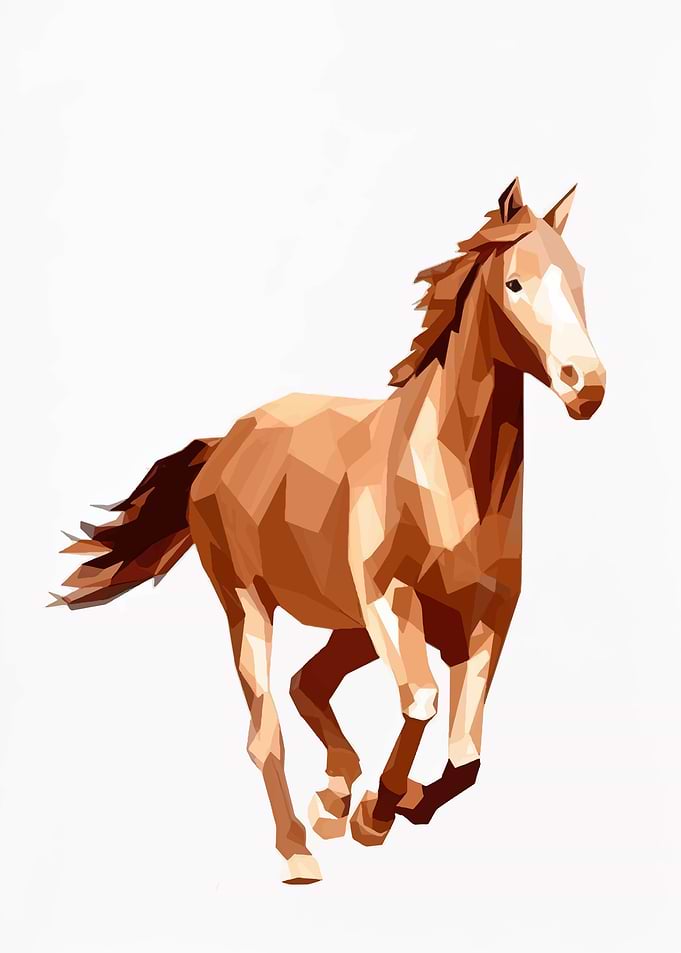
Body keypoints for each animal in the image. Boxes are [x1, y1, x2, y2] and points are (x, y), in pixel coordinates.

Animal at [52, 179, 606, 884]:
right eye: (514, 282)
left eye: (579, 278)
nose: (588, 386)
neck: (450, 480)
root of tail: (225, 443)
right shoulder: (390, 602)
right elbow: (422, 703)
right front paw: (379, 811)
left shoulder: (486, 622)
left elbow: (466, 757)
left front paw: (392, 804)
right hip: (251, 604)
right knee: (266, 726)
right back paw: (299, 848)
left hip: (349, 627)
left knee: (306, 684)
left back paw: (335, 796)